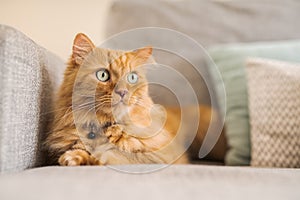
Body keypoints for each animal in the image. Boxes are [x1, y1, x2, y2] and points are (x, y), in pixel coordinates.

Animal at [45, 33, 226, 166]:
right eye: (102, 75)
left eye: (132, 77)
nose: (123, 92)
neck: (107, 125)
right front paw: (76, 156)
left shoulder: (158, 156)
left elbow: (114, 155)